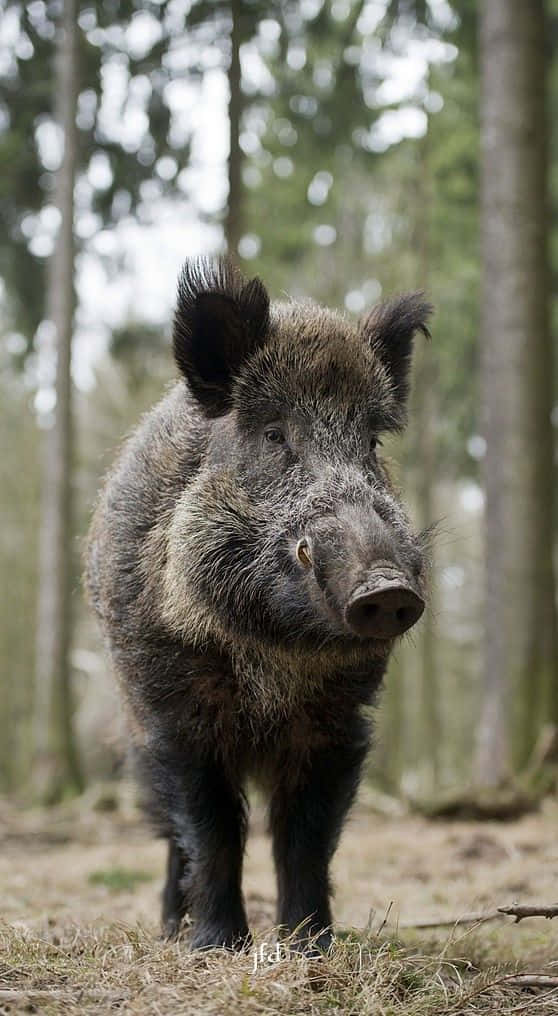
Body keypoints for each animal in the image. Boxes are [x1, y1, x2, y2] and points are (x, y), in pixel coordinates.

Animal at [85, 256, 431, 952]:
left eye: (372, 444)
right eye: (275, 434)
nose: (387, 587)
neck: (274, 657)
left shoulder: (337, 721)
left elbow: (306, 837)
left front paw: (310, 945)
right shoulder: (175, 713)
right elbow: (212, 830)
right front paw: (218, 946)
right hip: (133, 736)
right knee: (172, 838)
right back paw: (171, 930)